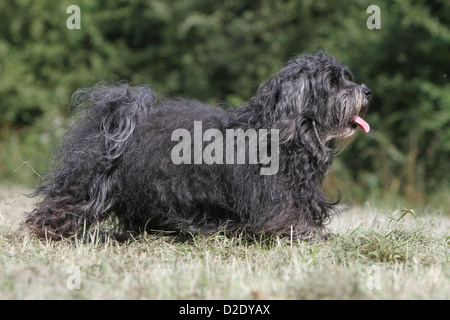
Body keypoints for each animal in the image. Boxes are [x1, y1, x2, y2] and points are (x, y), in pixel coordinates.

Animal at [24, 51, 370, 240]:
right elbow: (286, 219)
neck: (287, 130)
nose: (366, 91)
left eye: (347, 77)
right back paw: (48, 231)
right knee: (64, 203)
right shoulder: (273, 198)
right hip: (87, 183)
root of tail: (119, 113)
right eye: (333, 82)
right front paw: (308, 235)